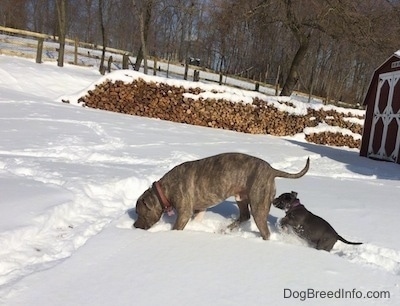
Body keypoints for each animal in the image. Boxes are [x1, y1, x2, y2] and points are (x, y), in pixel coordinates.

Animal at [134, 153, 310, 239]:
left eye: (139, 212)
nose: (134, 226)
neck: (164, 190)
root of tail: (272, 170)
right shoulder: (200, 209)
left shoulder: (183, 213)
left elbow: (177, 227)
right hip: (241, 198)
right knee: (244, 216)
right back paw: (225, 230)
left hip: (258, 205)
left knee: (264, 231)